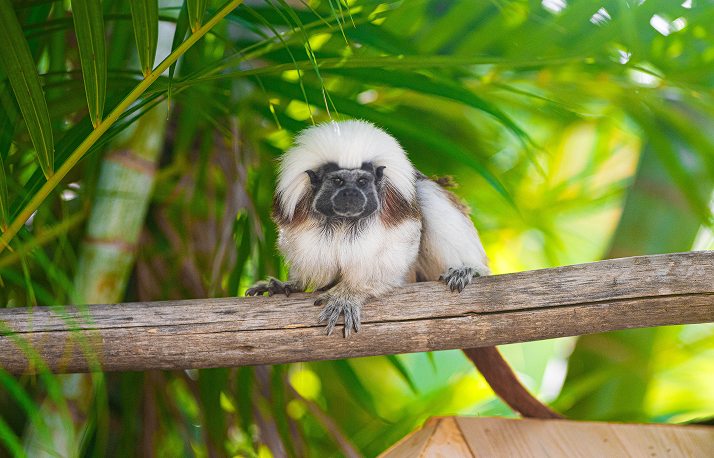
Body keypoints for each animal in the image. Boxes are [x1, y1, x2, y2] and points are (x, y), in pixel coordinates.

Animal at [247, 120, 562, 419]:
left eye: (362, 182)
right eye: (337, 181)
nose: (350, 194)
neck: (344, 223)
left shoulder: (398, 210)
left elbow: (394, 253)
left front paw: (350, 294)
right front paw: (290, 285)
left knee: (428, 193)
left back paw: (468, 269)